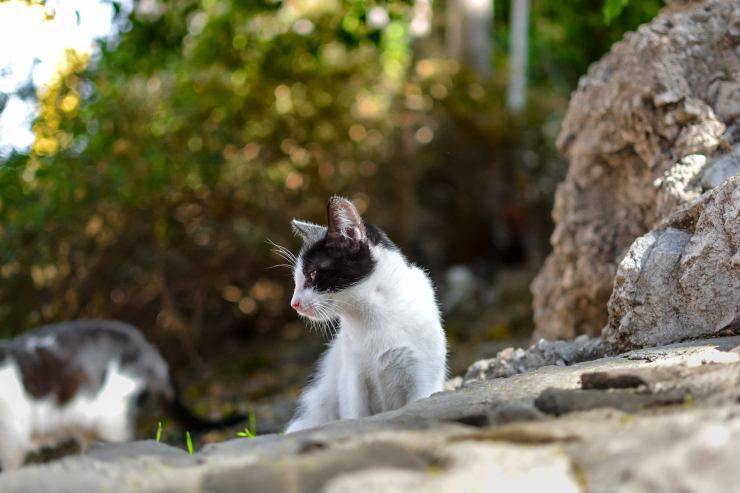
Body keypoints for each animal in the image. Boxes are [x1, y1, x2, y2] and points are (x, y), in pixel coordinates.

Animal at [284, 196, 446, 430]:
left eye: (312, 274)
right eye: (296, 279)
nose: (293, 303)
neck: (371, 314)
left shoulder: (422, 376)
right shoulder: (351, 377)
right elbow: (355, 415)